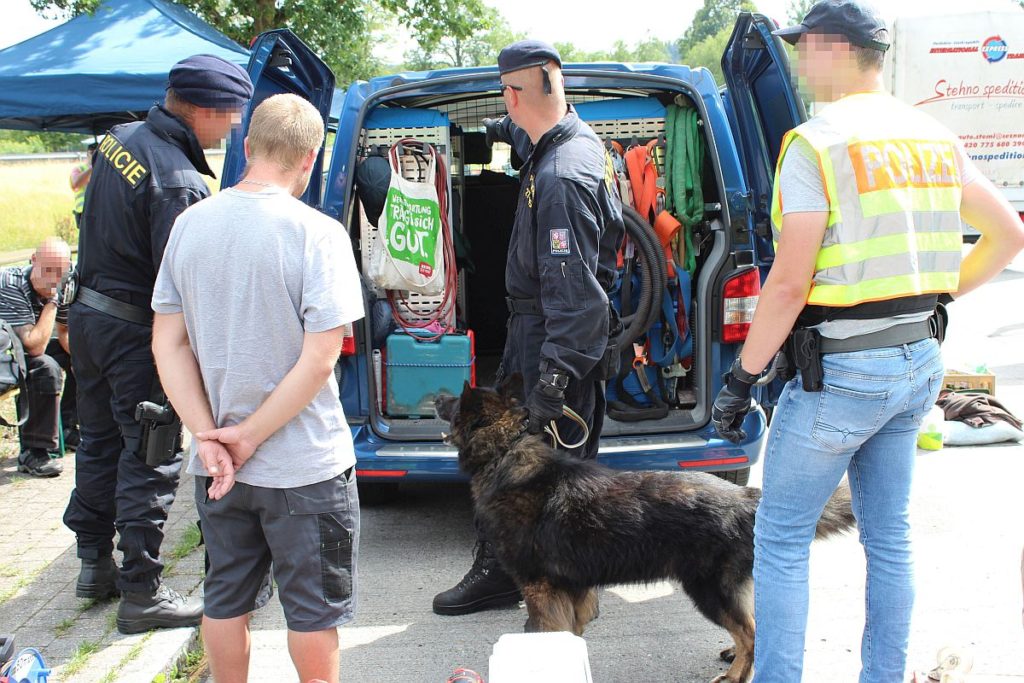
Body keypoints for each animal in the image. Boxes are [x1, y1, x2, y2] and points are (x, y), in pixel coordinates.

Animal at [432, 378, 856, 683]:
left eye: (453, 403)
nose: (436, 396)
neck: (505, 452)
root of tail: (746, 496)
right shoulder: (574, 589)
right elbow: (571, 635)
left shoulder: (540, 589)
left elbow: (548, 633)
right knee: (754, 623)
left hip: (708, 591)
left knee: (750, 632)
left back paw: (737, 674)